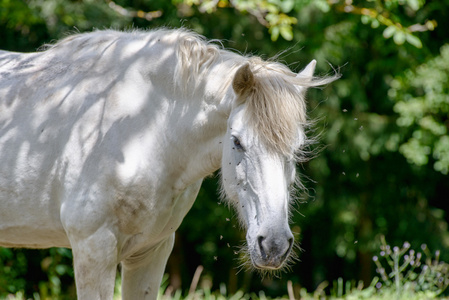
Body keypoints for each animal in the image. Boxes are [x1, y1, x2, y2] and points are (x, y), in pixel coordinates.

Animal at [0, 27, 336, 298]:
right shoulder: (93, 249)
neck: (142, 131)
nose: (274, 245)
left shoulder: (152, 251)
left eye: (297, 148)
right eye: (238, 141)